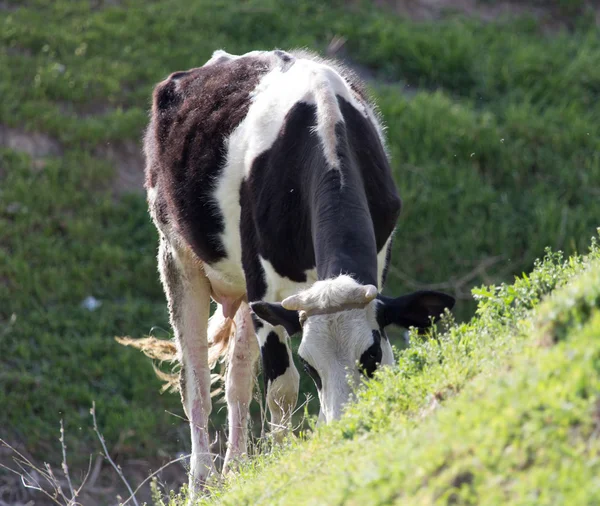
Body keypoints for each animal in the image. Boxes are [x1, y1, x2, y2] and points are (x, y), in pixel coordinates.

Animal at [126, 49, 454, 500]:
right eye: (311, 364)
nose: (345, 426)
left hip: (240, 288)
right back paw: (203, 485)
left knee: (237, 380)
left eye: (370, 356)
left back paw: (236, 469)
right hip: (177, 256)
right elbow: (282, 389)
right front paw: (282, 464)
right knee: (196, 385)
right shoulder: (265, 289)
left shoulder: (375, 264)